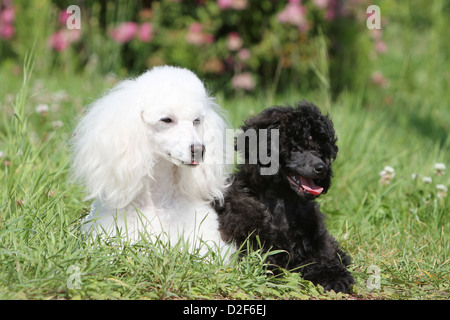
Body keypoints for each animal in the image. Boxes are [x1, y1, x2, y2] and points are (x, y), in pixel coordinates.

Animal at [214, 102, 356, 292]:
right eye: (294, 149)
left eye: (319, 150)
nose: (322, 168)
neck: (282, 203)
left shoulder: (317, 240)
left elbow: (324, 257)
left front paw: (333, 276)